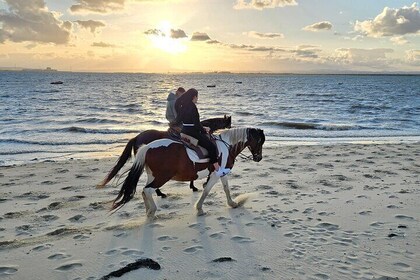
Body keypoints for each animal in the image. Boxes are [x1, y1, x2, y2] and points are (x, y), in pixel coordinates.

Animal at [96, 115, 231, 198]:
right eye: (228, 122)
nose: (230, 126)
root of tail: (137, 137)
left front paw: (194, 185)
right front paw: (196, 185)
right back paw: (160, 193)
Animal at [110, 127, 264, 217]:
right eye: (260, 141)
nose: (259, 158)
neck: (226, 146)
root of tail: (147, 147)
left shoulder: (222, 173)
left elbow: (226, 188)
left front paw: (232, 203)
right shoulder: (215, 174)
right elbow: (206, 190)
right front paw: (199, 209)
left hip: (152, 175)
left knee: (144, 191)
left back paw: (148, 211)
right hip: (161, 177)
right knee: (147, 190)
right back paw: (152, 210)